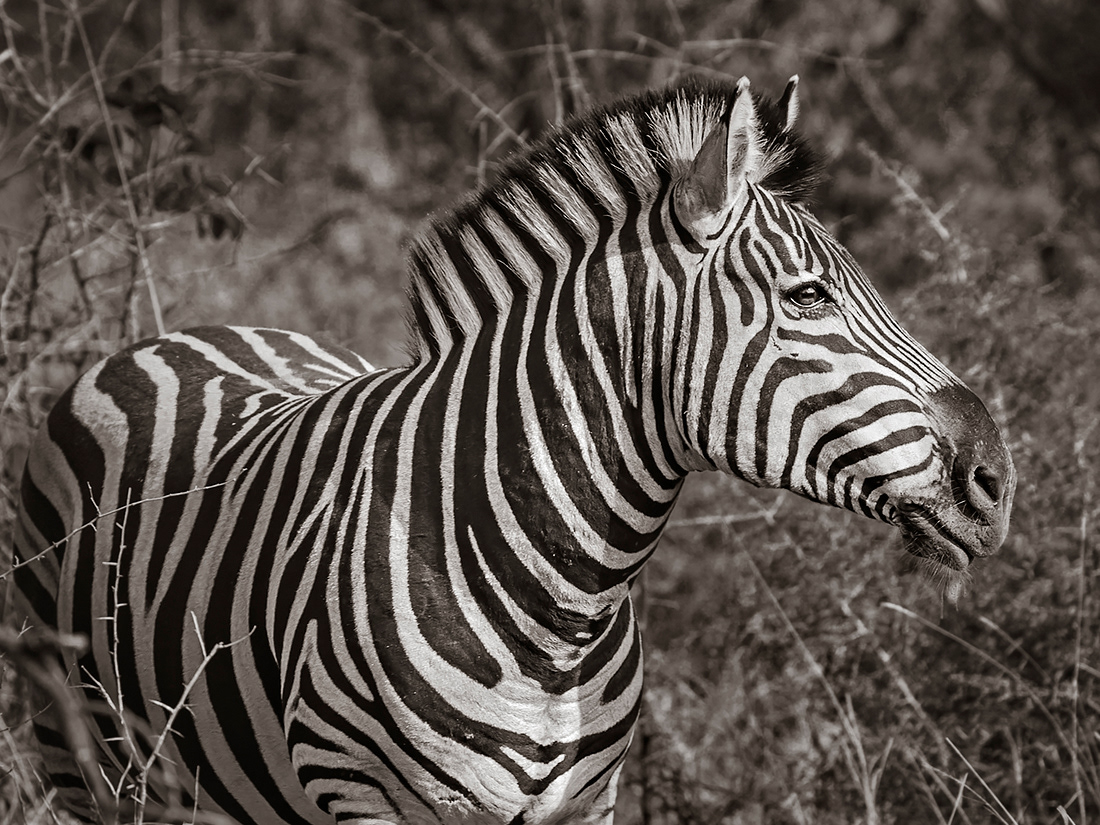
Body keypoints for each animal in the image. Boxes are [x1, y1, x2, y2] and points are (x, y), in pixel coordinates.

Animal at [6, 75, 1015, 825]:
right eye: (806, 296)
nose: (997, 480)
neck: (557, 611)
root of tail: (177, 336)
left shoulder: (586, 803)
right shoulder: (361, 796)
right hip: (80, 748)